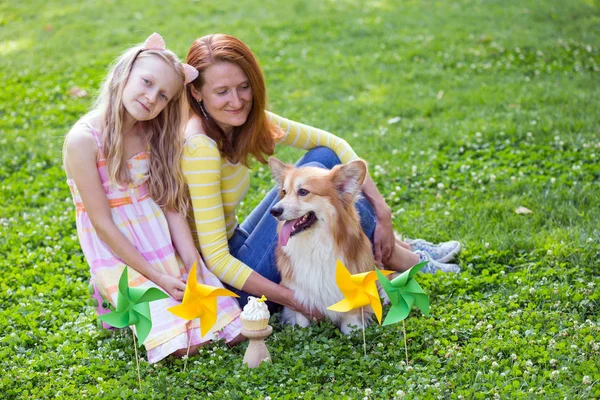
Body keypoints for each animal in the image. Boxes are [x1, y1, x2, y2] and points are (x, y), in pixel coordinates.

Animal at [270, 157, 382, 334]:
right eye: (284, 192)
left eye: (303, 192)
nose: (273, 211)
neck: (316, 246)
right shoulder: (299, 297)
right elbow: (301, 322)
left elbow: (351, 325)